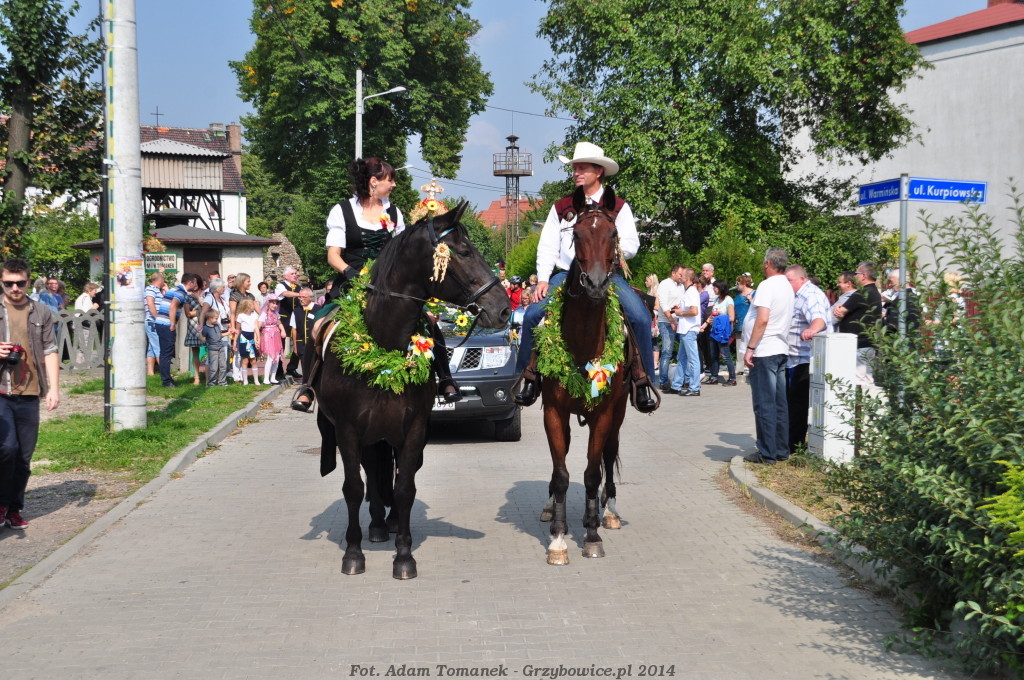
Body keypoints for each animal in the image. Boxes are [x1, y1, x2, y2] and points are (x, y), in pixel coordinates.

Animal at [315, 202, 510, 579]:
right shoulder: (348, 430)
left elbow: (404, 487)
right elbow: (353, 487)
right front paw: (353, 553)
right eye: (465, 251)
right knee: (372, 473)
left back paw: (386, 524)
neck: (383, 342)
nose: (505, 309)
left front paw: (404, 556)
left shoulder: (413, 427)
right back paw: (376, 527)